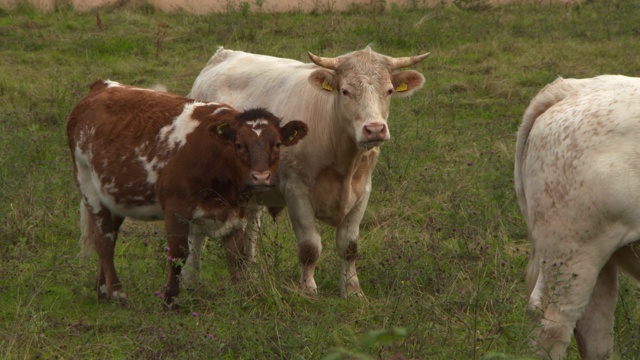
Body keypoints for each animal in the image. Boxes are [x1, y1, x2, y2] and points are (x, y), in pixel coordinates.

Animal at [69, 80, 308, 308]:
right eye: (239, 145)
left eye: (277, 144)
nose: (261, 177)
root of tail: (102, 86)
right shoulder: (177, 209)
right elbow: (178, 254)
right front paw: (169, 299)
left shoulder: (237, 213)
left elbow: (236, 257)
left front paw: (241, 296)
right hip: (88, 185)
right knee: (104, 242)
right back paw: (118, 294)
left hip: (114, 195)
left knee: (109, 235)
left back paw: (103, 292)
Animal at [190, 46, 430, 296]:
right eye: (345, 91)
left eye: (389, 90)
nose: (374, 129)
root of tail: (223, 53)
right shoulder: (297, 192)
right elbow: (310, 248)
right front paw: (308, 290)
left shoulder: (363, 191)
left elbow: (349, 246)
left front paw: (353, 290)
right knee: (196, 234)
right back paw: (193, 281)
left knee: (251, 229)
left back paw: (250, 275)